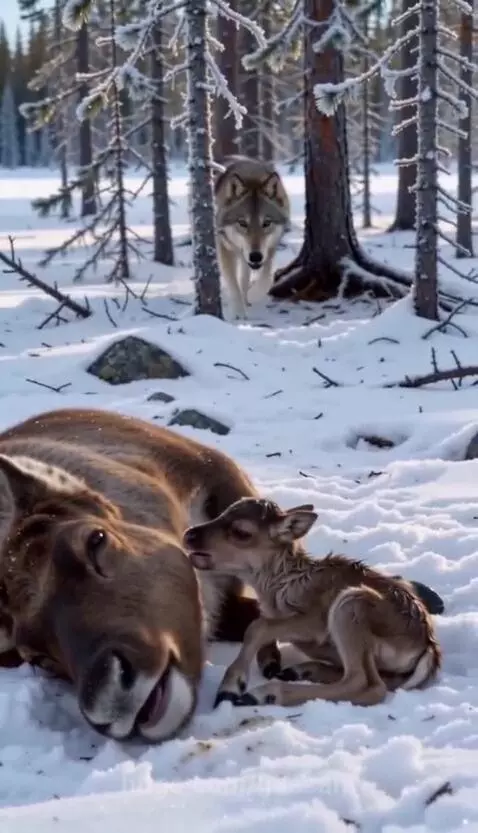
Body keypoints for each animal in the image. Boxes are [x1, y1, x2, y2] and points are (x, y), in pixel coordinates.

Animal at [183, 497, 442, 710]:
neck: (282, 588)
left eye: (241, 531)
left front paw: (230, 687)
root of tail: (428, 649)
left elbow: (258, 626)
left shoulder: (316, 622)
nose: (188, 535)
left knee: (367, 684)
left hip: (350, 605)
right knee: (385, 680)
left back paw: (265, 693)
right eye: (222, 513)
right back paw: (299, 670)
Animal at [214, 155, 290, 319]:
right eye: (242, 223)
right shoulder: (225, 248)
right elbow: (233, 285)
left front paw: (254, 294)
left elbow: (266, 277)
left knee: (245, 277)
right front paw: (239, 313)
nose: (255, 256)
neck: (252, 177)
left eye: (266, 223)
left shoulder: (271, 247)